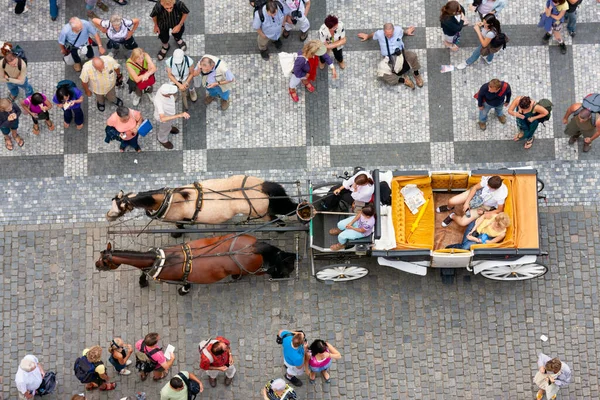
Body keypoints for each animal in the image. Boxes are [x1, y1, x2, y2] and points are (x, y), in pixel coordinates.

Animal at [95, 233, 296, 296]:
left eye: (105, 260)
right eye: (100, 254)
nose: (96, 265)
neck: (160, 260)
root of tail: (253, 247)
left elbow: (185, 283)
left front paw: (184, 290)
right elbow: (144, 272)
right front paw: (142, 280)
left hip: (253, 269)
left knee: (261, 271)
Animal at [106, 176, 298, 228]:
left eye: (119, 206)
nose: (108, 216)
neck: (169, 200)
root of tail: (261, 188)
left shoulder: (177, 218)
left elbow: (179, 226)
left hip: (261, 213)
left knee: (278, 219)